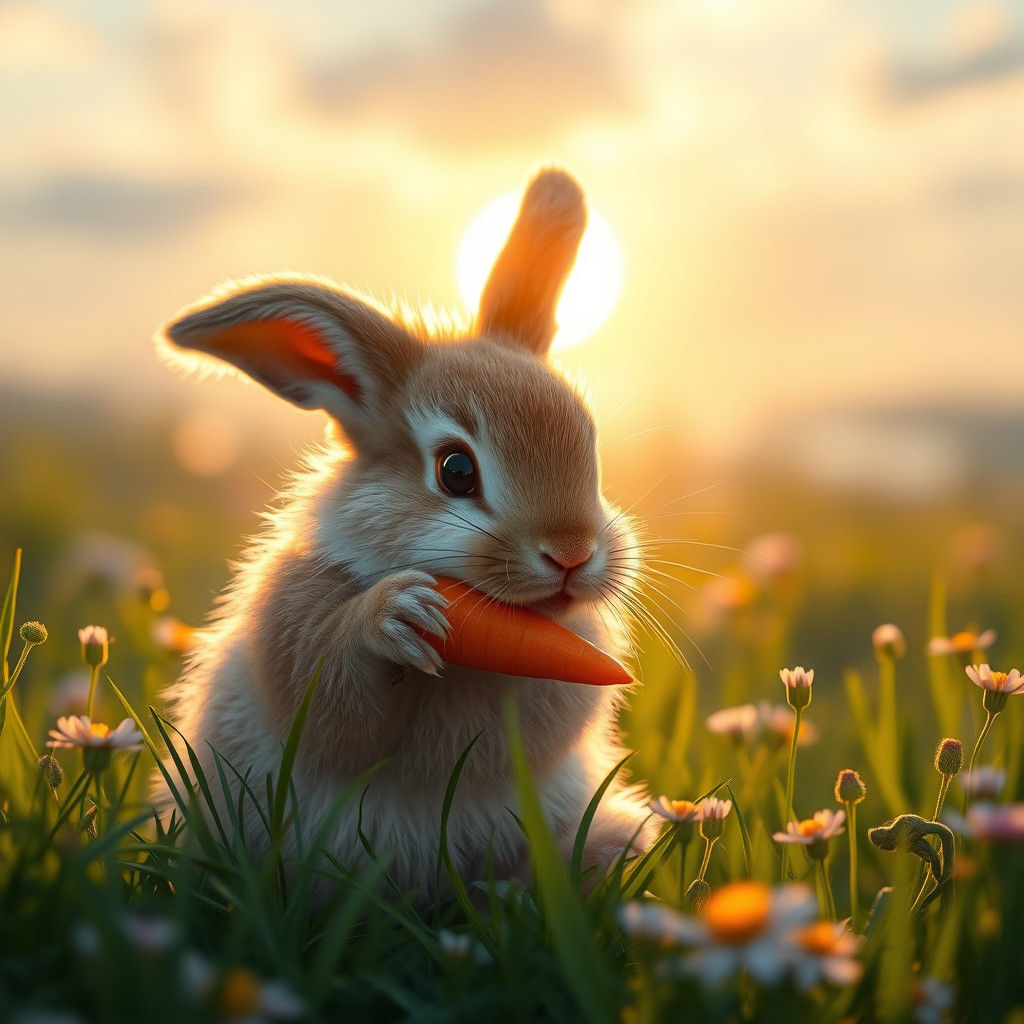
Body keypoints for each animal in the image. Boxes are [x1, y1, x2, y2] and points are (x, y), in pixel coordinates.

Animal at [154, 168, 653, 897]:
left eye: (592, 450)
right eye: (455, 470)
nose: (571, 555)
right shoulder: (292, 627)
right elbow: (332, 702)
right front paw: (393, 616)